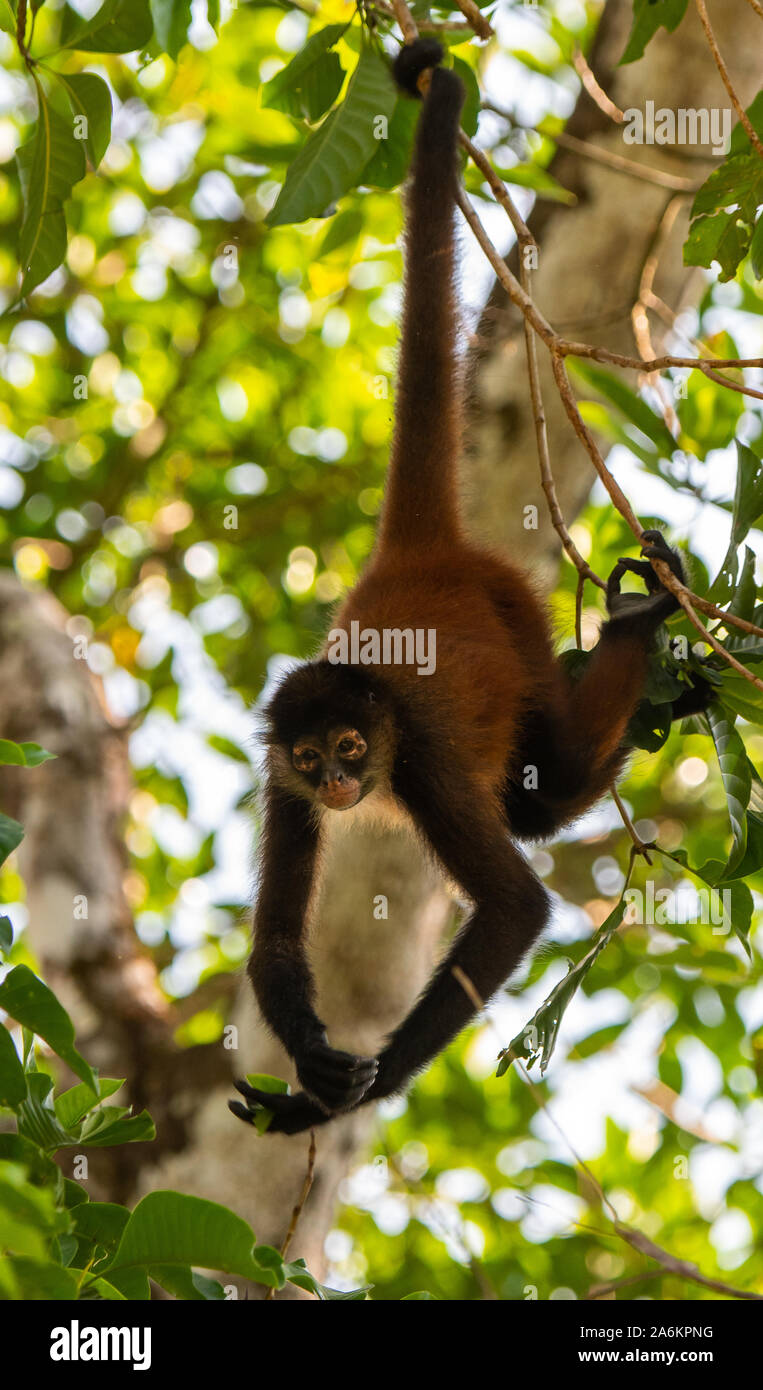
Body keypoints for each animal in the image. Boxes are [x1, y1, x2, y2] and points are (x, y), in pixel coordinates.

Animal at [229, 38, 713, 1137]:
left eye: (354, 749)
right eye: (314, 757)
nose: (338, 783)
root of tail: (416, 558)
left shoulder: (417, 757)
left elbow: (519, 908)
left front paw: (344, 1098)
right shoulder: (278, 776)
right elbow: (273, 943)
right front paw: (312, 1072)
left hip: (516, 611)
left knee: (552, 780)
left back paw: (638, 627)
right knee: (537, 796)